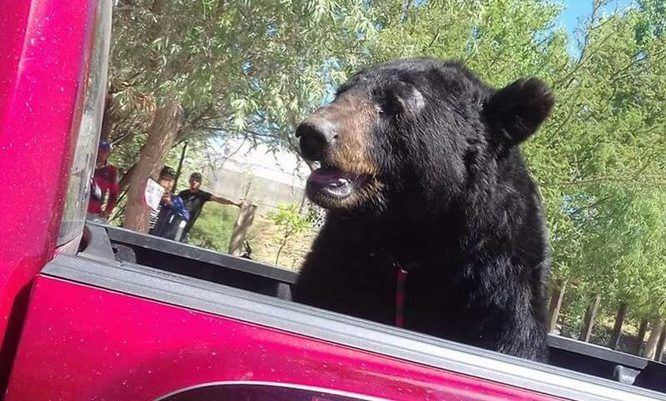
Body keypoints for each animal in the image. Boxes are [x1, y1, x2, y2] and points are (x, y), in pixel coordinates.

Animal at [292, 58, 554, 361]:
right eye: (341, 91)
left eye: (393, 105)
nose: (313, 132)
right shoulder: (343, 253)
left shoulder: (498, 276)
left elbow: (511, 336)